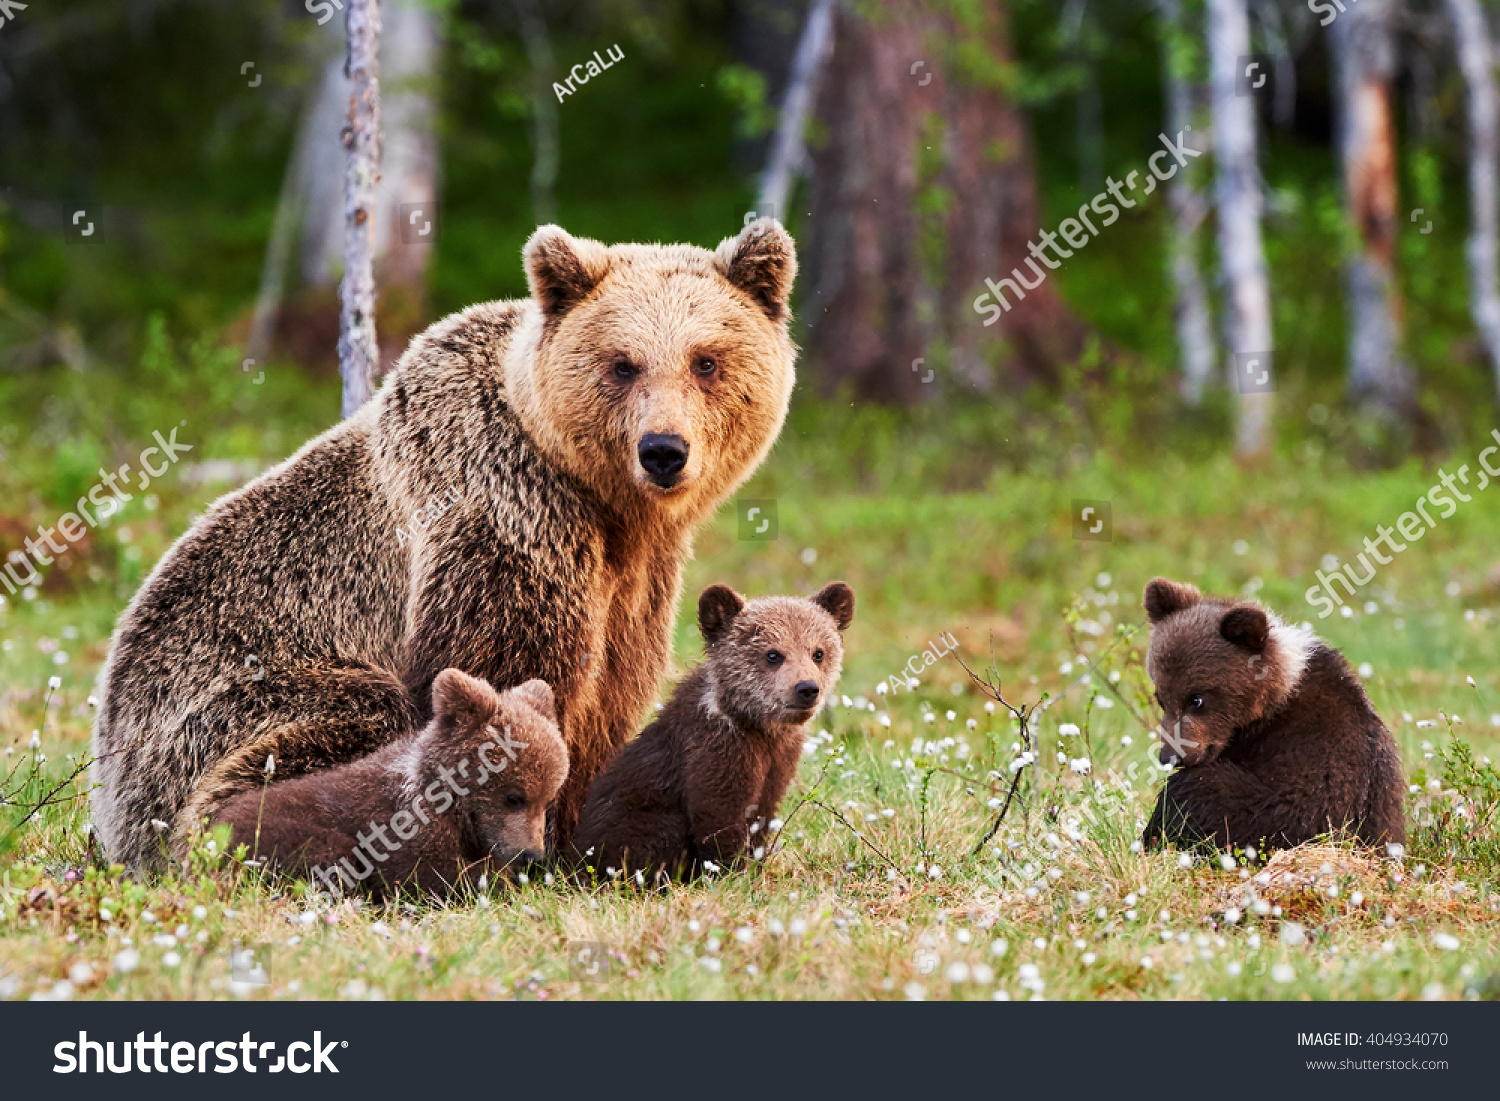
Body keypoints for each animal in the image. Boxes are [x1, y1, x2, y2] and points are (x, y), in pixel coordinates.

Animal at [90, 220, 798, 870]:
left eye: (706, 360)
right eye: (622, 363)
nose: (663, 450)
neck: (602, 502)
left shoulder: (638, 578)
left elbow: (610, 696)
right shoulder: (503, 516)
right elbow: (504, 676)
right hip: (225, 705)